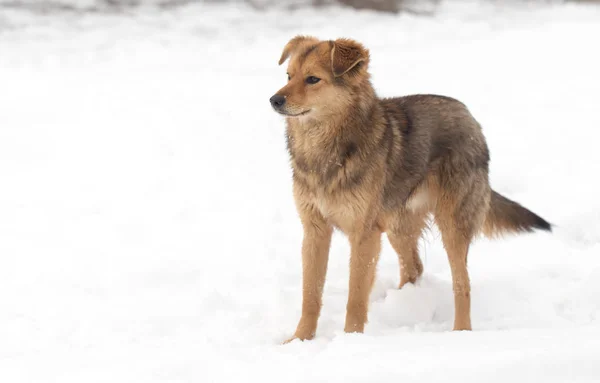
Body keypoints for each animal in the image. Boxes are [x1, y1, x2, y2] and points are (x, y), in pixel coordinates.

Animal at [270, 35, 552, 342]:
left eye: (313, 79)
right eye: (288, 76)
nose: (274, 100)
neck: (325, 151)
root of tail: (469, 114)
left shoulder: (365, 234)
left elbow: (355, 297)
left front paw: (351, 339)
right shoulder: (315, 230)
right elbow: (310, 294)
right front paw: (299, 340)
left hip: (451, 225)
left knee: (462, 284)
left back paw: (460, 333)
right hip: (398, 227)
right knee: (414, 267)